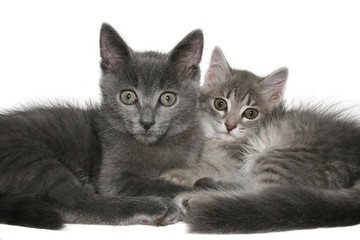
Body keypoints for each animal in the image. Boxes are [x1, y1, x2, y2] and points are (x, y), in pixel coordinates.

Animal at [0, 23, 202, 230]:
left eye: (168, 98)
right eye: (128, 96)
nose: (146, 122)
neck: (155, 147)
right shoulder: (112, 177)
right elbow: (157, 184)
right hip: (29, 156)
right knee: (72, 202)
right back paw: (157, 206)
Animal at [162, 46, 360, 232]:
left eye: (250, 113)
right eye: (220, 104)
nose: (230, 126)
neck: (219, 142)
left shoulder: (236, 164)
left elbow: (208, 166)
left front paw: (177, 173)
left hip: (277, 156)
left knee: (266, 196)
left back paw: (193, 200)